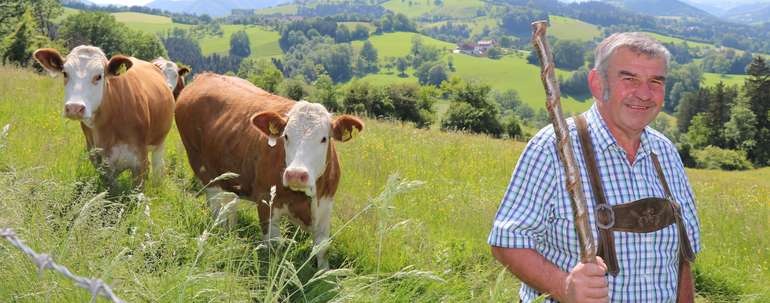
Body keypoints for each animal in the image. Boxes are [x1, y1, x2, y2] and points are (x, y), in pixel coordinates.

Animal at [33, 45, 175, 185]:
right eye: (65, 73)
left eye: (98, 76)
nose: (74, 107)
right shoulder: (99, 161)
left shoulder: (140, 162)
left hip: (159, 142)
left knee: (158, 167)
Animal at [177, 72, 364, 270]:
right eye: (286, 136)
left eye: (324, 138)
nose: (296, 174)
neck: (304, 197)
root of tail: (206, 75)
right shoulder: (266, 201)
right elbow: (274, 247)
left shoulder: (325, 205)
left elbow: (322, 249)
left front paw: (322, 273)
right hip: (203, 168)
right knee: (216, 207)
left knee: (229, 205)